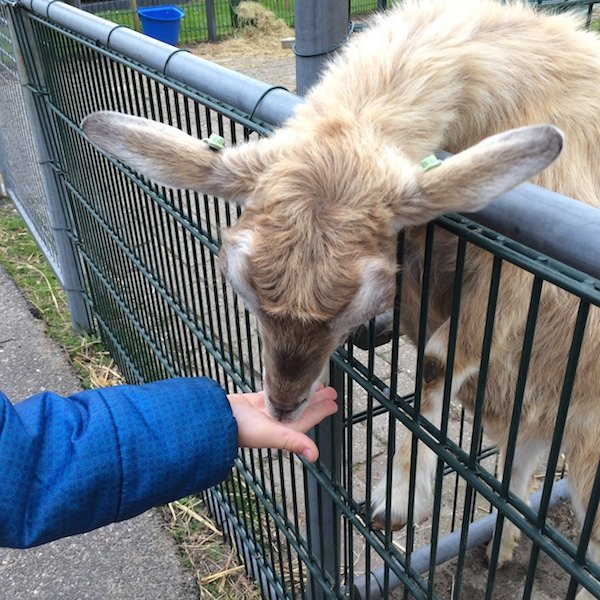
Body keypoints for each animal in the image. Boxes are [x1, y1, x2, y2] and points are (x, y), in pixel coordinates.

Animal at [83, 0, 600, 592]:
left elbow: (436, 362)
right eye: (238, 283)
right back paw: (501, 547)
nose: (283, 407)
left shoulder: (514, 278)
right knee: (519, 467)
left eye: (364, 297)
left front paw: (395, 499)